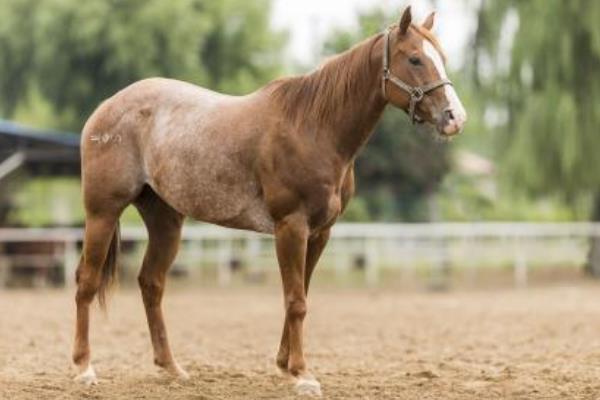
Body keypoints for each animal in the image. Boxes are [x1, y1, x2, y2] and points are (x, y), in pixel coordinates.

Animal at [72, 7, 466, 396]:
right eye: (414, 58)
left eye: (442, 58)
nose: (455, 118)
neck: (313, 129)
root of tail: (106, 107)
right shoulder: (291, 227)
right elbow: (296, 301)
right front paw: (302, 374)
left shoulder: (319, 233)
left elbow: (301, 294)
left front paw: (285, 366)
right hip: (102, 213)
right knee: (86, 281)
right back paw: (84, 368)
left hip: (165, 220)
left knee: (151, 283)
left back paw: (171, 368)